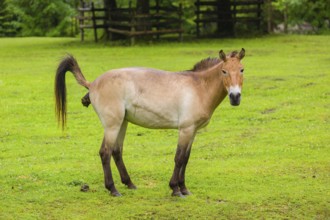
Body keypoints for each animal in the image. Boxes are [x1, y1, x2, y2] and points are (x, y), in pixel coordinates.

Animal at [54, 49, 245, 197]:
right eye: (224, 71)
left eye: (242, 70)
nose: (235, 97)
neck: (199, 88)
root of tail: (92, 83)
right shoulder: (185, 130)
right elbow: (179, 158)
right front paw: (175, 189)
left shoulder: (193, 131)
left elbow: (186, 158)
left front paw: (184, 188)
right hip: (112, 125)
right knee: (105, 152)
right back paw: (113, 189)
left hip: (122, 123)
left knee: (116, 151)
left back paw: (129, 183)